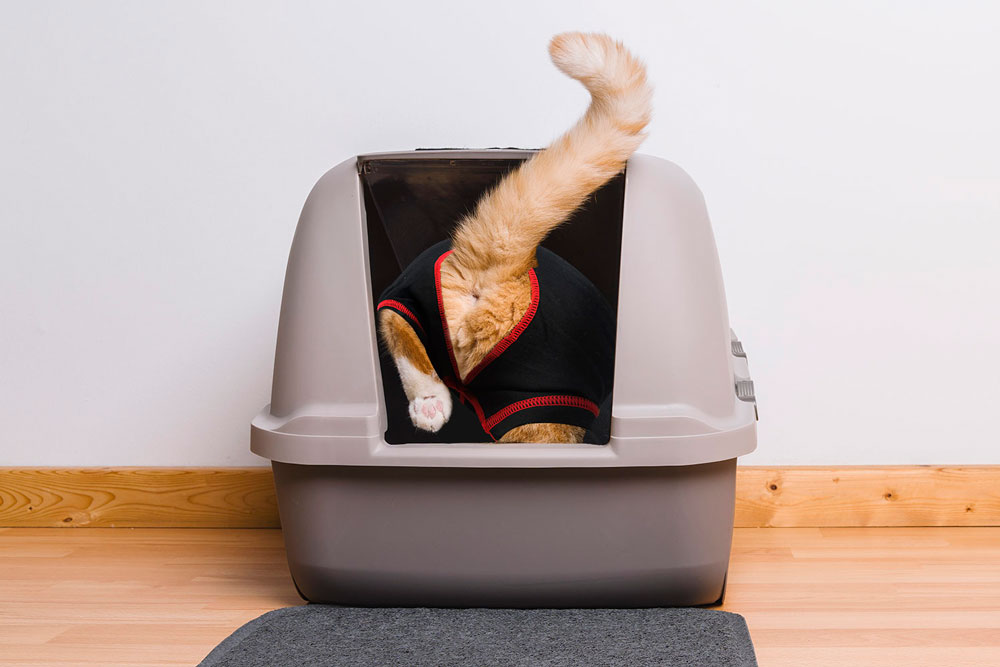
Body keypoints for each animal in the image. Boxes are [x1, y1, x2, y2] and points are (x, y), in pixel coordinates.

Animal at [374, 31, 648, 444]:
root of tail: (512, 264)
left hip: (414, 296)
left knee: (400, 328)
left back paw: (431, 404)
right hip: (533, 406)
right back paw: (430, 406)